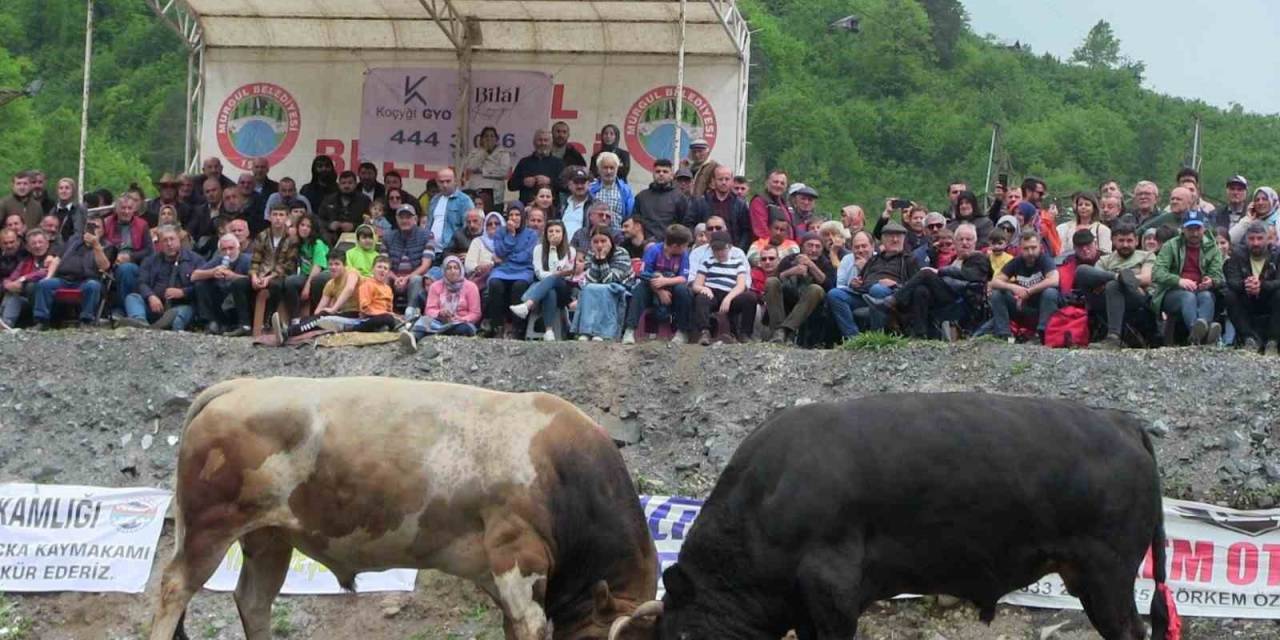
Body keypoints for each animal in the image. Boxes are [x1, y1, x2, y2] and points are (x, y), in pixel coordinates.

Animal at [149, 376, 660, 637]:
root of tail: (240, 386)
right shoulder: (518, 560)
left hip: (269, 537)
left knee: (253, 601)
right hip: (209, 526)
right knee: (174, 588)